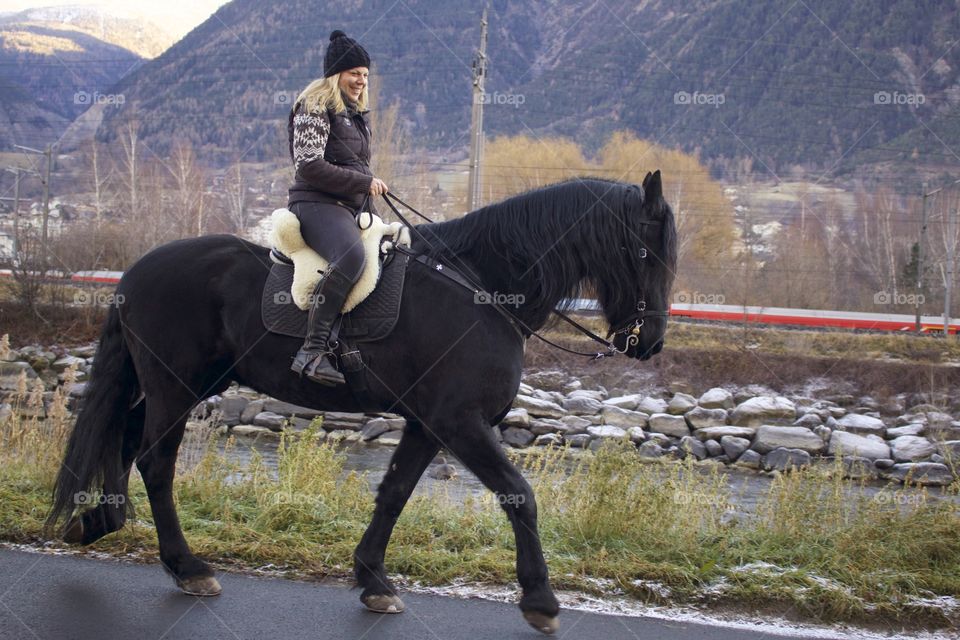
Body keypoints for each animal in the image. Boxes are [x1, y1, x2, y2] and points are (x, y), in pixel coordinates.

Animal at [45, 171, 676, 636]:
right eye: (647, 252)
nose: (650, 343)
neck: (482, 289)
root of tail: (138, 268)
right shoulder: (460, 422)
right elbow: (519, 494)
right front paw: (540, 599)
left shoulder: (428, 424)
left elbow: (394, 495)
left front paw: (373, 580)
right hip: (176, 385)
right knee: (154, 460)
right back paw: (186, 566)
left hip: (185, 385)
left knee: (125, 434)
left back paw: (97, 521)